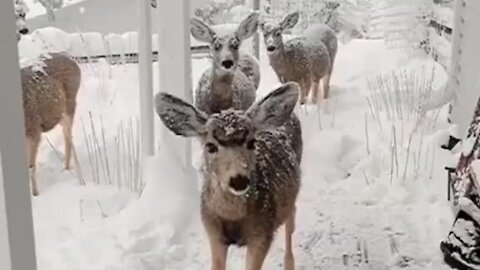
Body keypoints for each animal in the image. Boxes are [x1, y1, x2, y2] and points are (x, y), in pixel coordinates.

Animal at [21, 52, 81, 196]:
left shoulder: (34, 129)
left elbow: (31, 166)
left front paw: (35, 194)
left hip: (70, 104)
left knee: (68, 137)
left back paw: (68, 169)